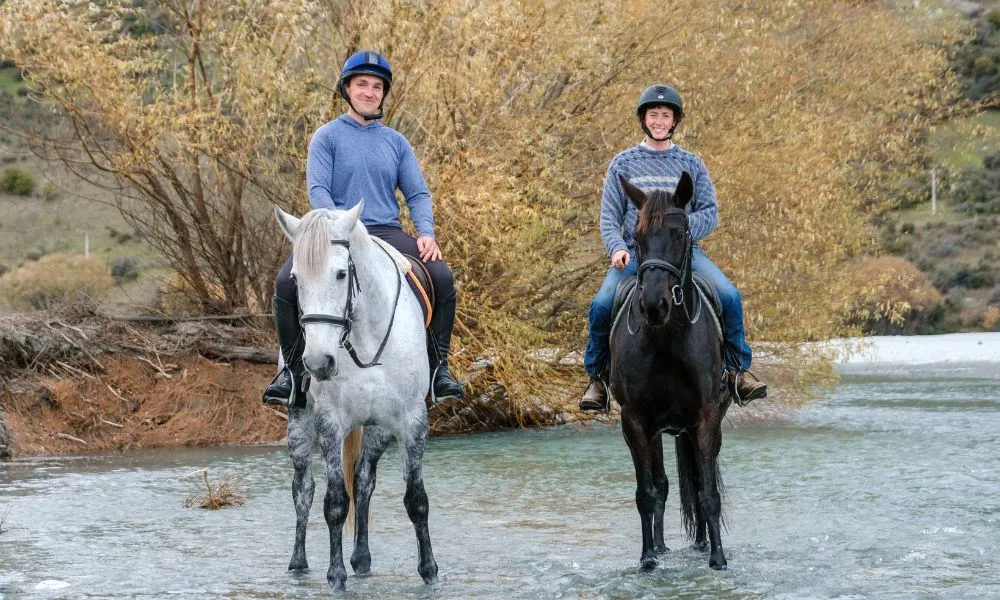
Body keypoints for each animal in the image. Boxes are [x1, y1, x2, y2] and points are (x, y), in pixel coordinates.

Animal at [273, 202, 438, 591]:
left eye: (340, 274)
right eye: (296, 280)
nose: (318, 362)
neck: (365, 338)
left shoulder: (411, 421)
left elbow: (416, 499)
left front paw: (429, 571)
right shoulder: (330, 422)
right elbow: (334, 501)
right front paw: (336, 577)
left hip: (378, 428)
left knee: (364, 482)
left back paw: (362, 559)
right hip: (300, 424)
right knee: (303, 489)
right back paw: (299, 563)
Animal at [609, 171, 731, 571]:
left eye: (679, 233)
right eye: (636, 236)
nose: (653, 304)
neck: (666, 339)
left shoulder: (706, 418)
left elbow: (707, 492)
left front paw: (718, 559)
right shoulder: (635, 421)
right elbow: (646, 492)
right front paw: (647, 559)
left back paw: (702, 545)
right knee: (662, 484)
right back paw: (662, 548)